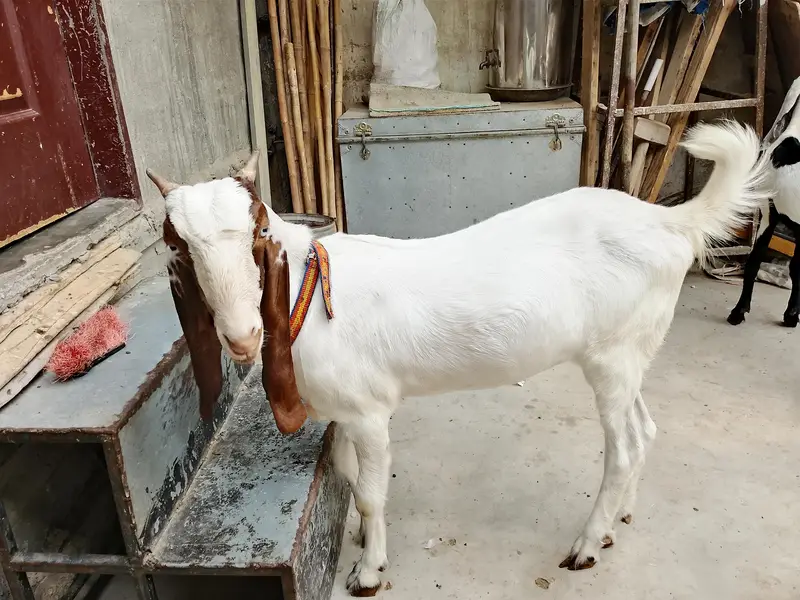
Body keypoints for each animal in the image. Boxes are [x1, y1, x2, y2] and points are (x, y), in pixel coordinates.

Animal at [147, 120, 769, 596]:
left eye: (257, 230)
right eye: (179, 246)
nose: (243, 336)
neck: (310, 287)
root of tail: (672, 221)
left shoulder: (370, 413)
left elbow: (369, 492)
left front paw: (368, 571)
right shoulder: (346, 410)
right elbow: (347, 474)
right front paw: (361, 541)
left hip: (610, 357)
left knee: (624, 447)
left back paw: (587, 546)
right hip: (633, 351)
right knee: (646, 428)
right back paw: (619, 521)